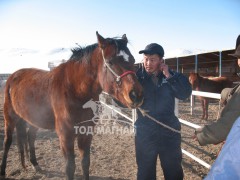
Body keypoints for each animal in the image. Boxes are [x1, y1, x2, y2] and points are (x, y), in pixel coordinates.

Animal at [0, 31, 143, 179]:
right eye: (110, 62)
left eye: (133, 60)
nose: (136, 95)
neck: (75, 90)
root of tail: (13, 76)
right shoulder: (66, 136)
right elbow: (70, 167)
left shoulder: (86, 133)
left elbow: (85, 163)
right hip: (9, 117)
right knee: (7, 142)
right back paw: (3, 171)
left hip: (34, 119)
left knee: (30, 137)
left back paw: (35, 164)